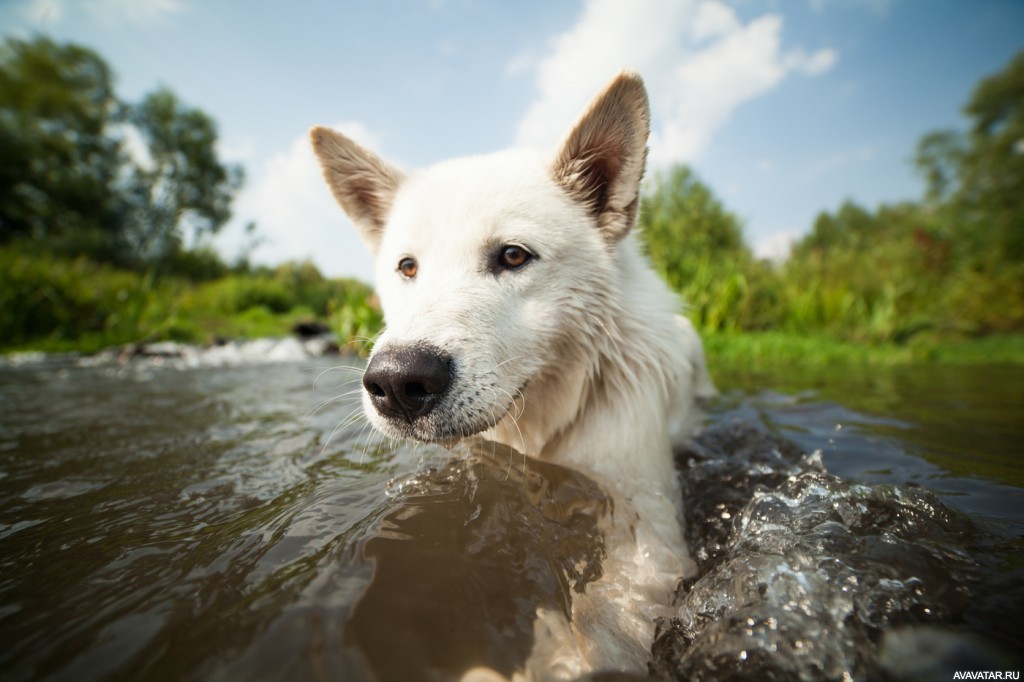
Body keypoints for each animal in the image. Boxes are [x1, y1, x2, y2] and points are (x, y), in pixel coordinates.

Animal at [307, 71, 716, 675]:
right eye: (407, 267)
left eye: (514, 256)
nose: (397, 382)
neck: (552, 415)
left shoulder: (649, 529)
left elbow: (607, 625)